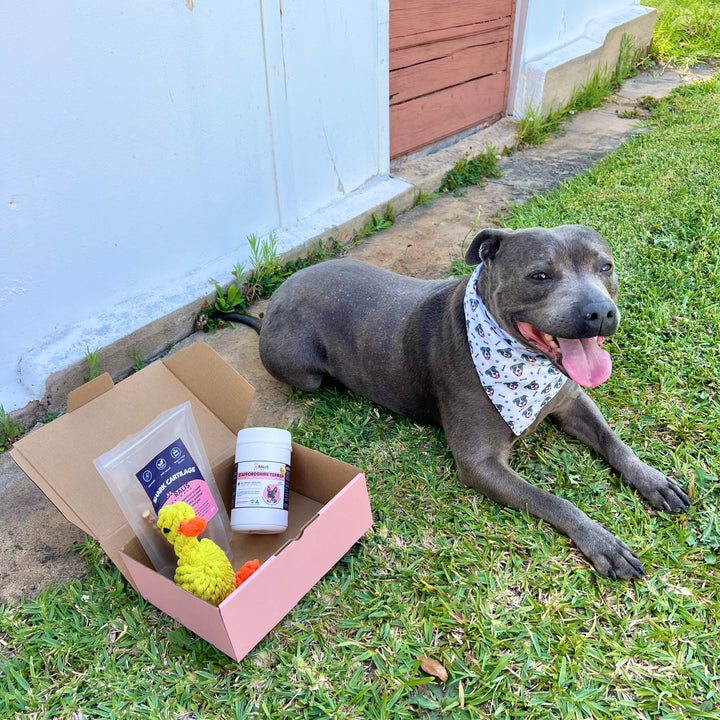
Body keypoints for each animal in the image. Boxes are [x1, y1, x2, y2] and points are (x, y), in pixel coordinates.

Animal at [228, 225, 688, 580]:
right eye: (540, 275)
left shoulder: (573, 401)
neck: (525, 366)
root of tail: (274, 301)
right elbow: (554, 500)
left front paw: (653, 480)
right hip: (302, 371)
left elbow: (615, 443)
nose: (600, 312)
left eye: (605, 266)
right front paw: (602, 540)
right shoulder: (480, 464)